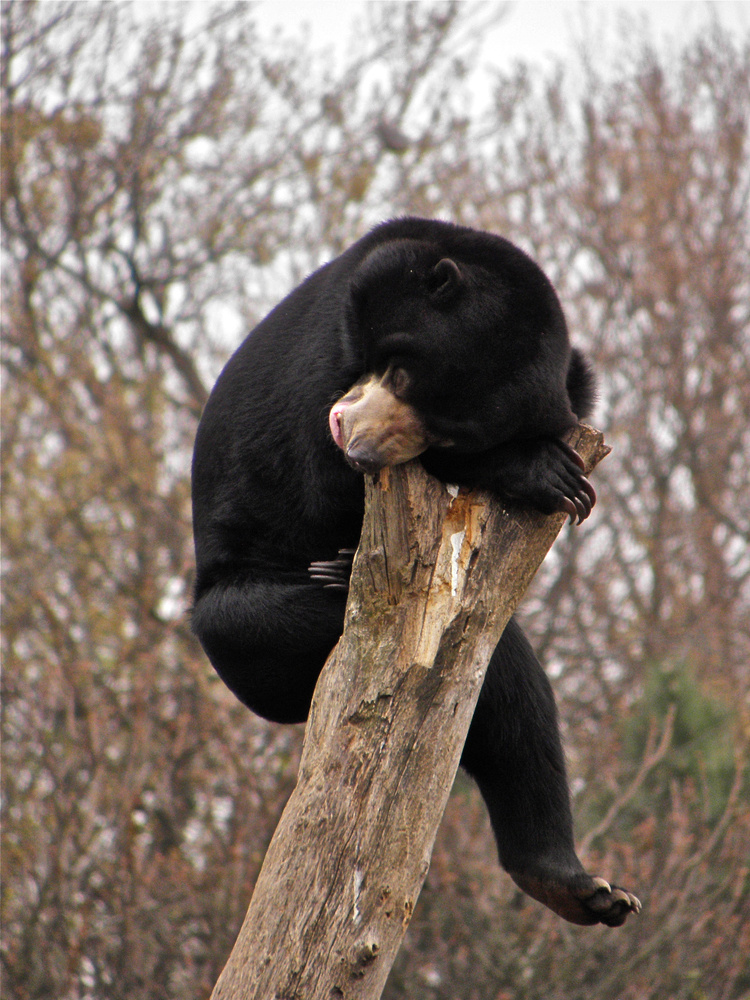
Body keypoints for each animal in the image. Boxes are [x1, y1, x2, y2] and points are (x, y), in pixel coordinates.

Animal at [192, 215, 640, 924]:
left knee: (512, 700)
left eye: (451, 430)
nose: (355, 441)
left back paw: (578, 885)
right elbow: (318, 479)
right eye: (400, 373)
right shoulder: (328, 349)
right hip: (248, 620)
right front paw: (548, 473)